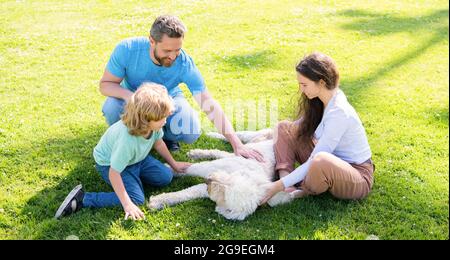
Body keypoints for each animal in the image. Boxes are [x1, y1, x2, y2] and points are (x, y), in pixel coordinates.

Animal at [148, 129, 302, 220]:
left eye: (224, 196)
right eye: (230, 181)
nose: (209, 179)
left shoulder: (207, 188)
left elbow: (188, 193)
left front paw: (159, 201)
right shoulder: (211, 167)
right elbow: (190, 169)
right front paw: (171, 169)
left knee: (221, 152)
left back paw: (198, 152)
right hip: (251, 136)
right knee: (235, 136)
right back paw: (210, 136)